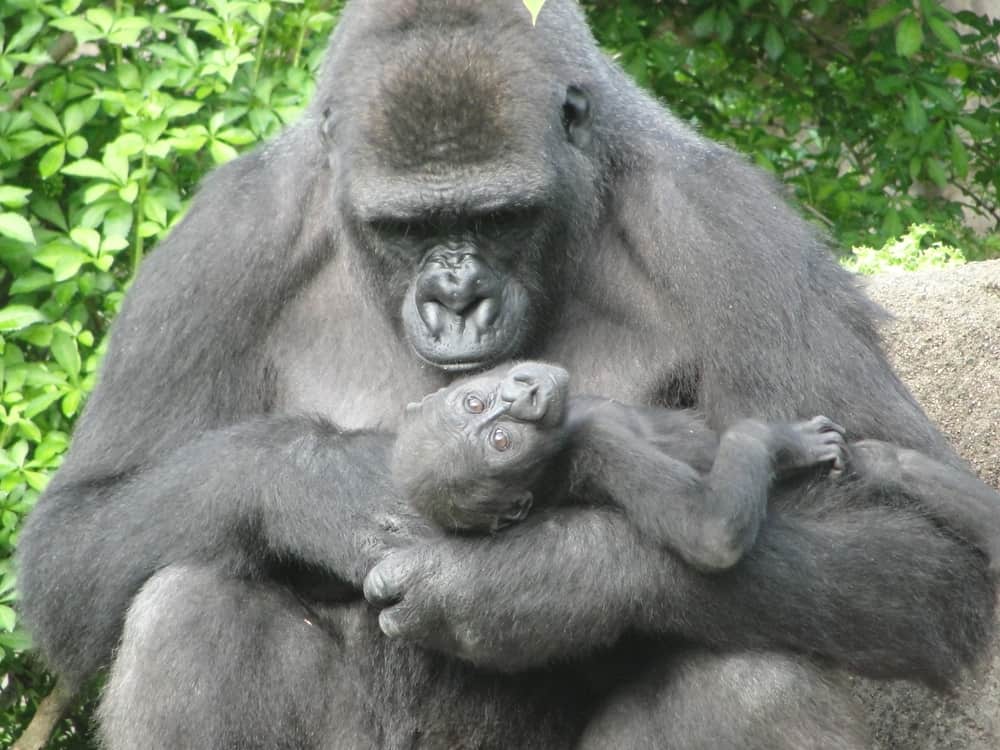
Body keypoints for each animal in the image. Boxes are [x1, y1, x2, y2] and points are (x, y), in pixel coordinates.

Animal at [392, 364, 1000, 576]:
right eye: (502, 441)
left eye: (474, 403)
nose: (520, 396)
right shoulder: (595, 449)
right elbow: (709, 532)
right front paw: (780, 440)